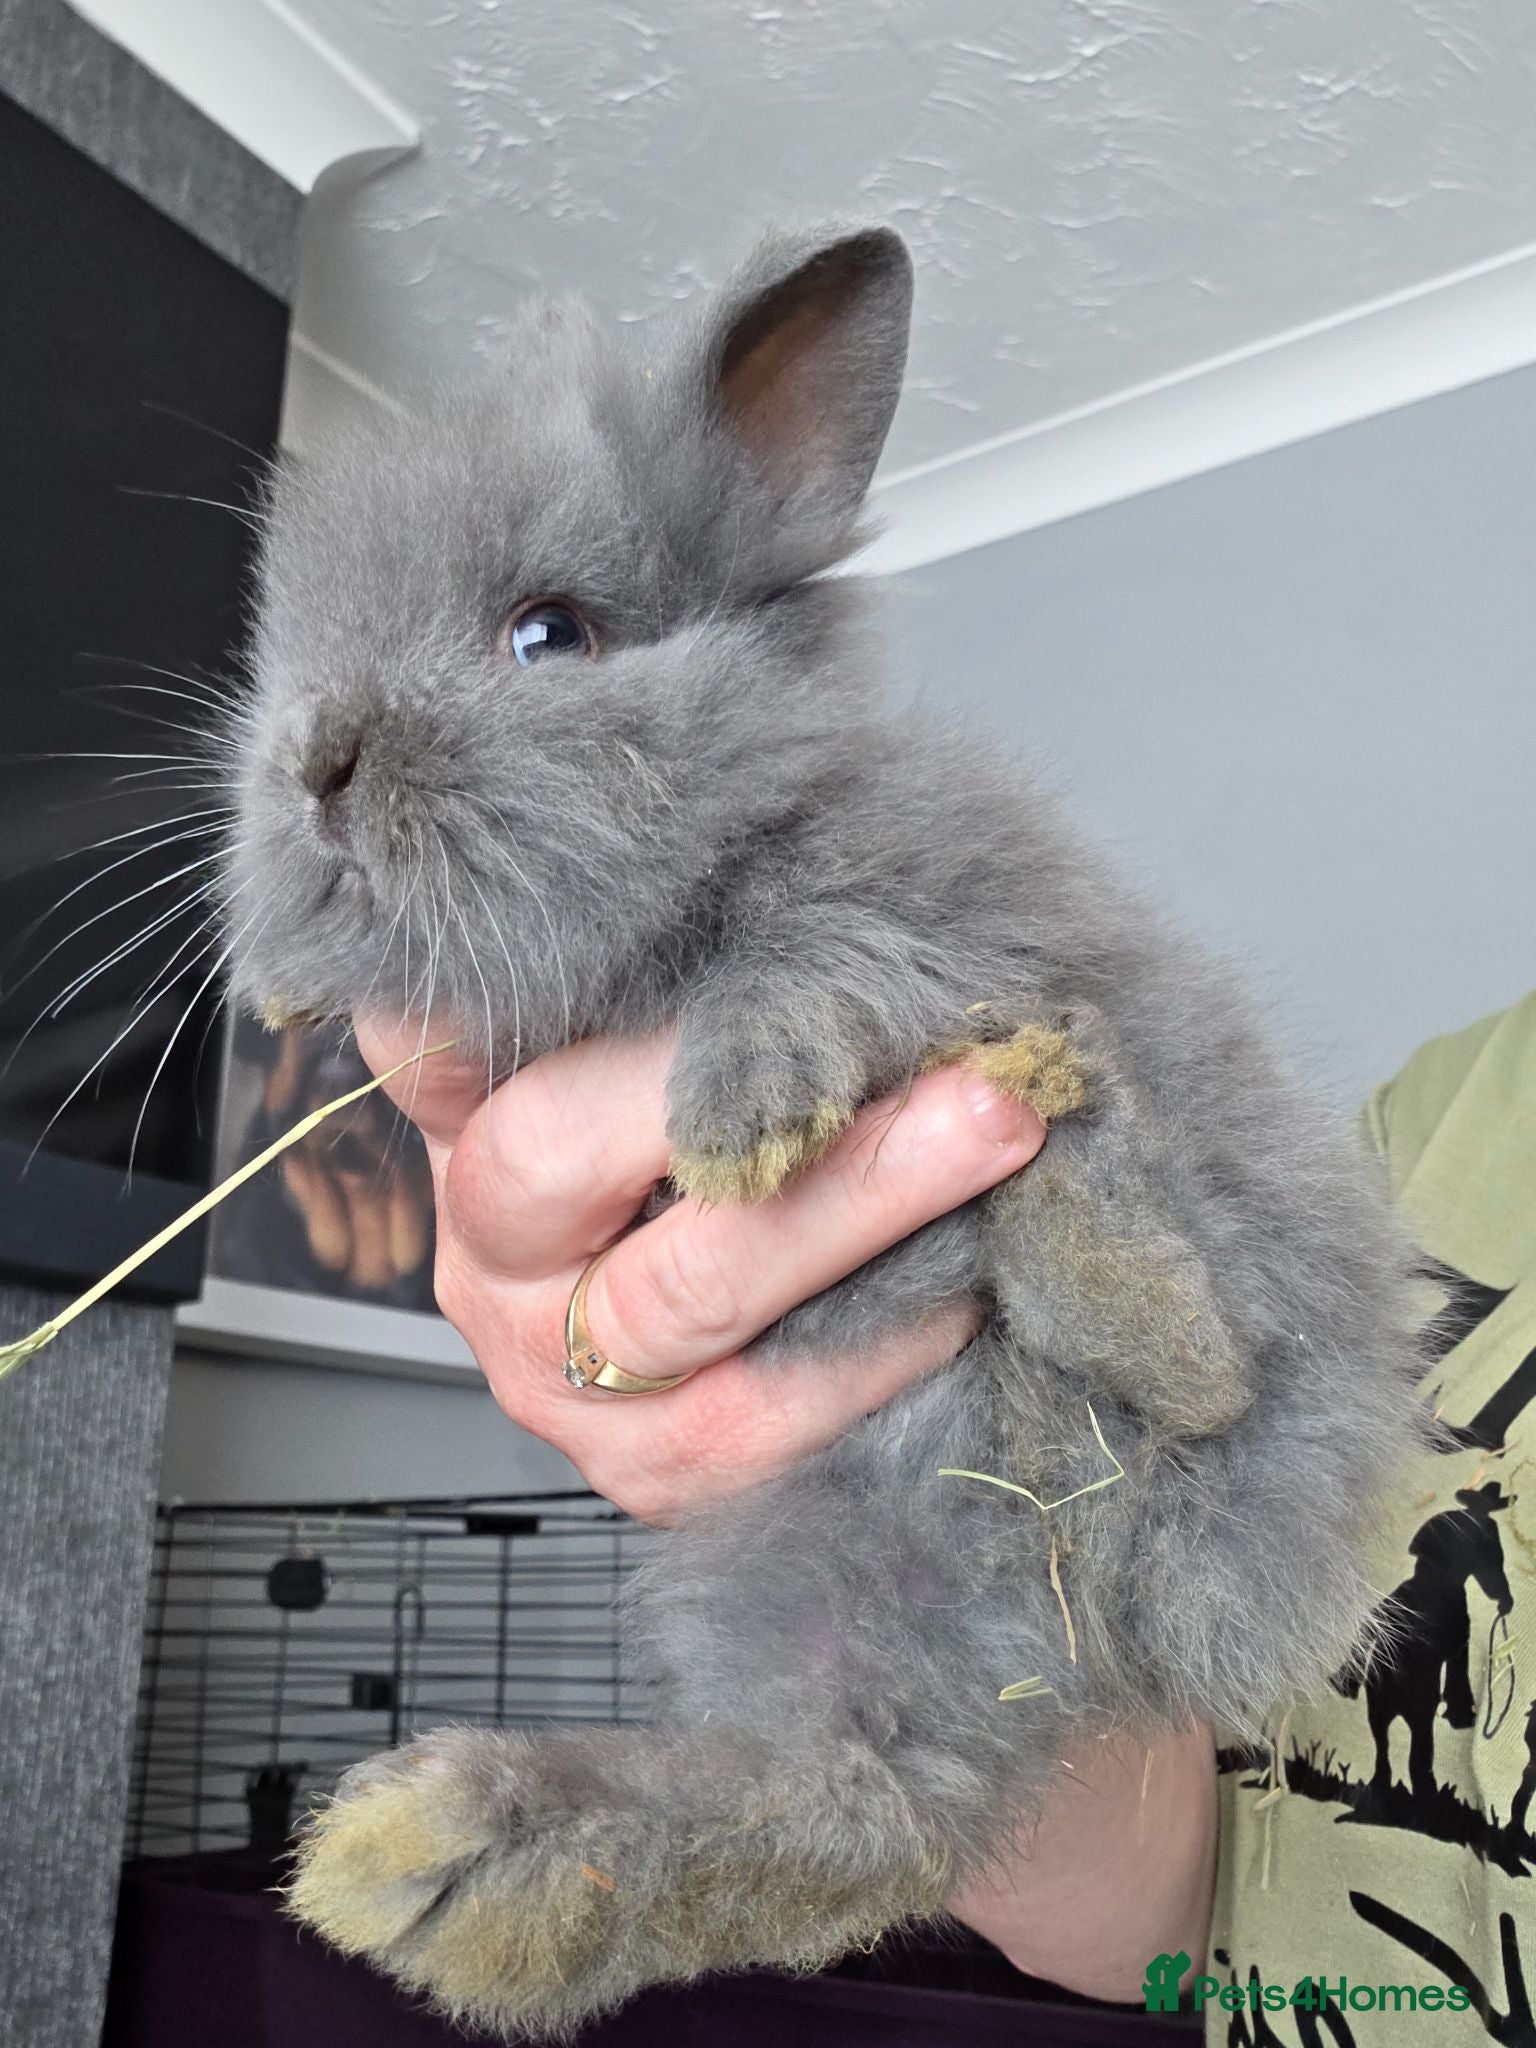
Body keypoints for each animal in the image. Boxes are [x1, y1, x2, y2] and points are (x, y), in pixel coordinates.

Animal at [222, 224, 1425, 2039]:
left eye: (547, 634)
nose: (316, 764)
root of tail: (1128, 1591)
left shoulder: (935, 913)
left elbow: (820, 958)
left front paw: (741, 1113)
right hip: (840, 1580)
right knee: (856, 1806)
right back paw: (455, 1865)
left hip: (1234, 1241)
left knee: (1188, 1323)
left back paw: (1116, 1275)